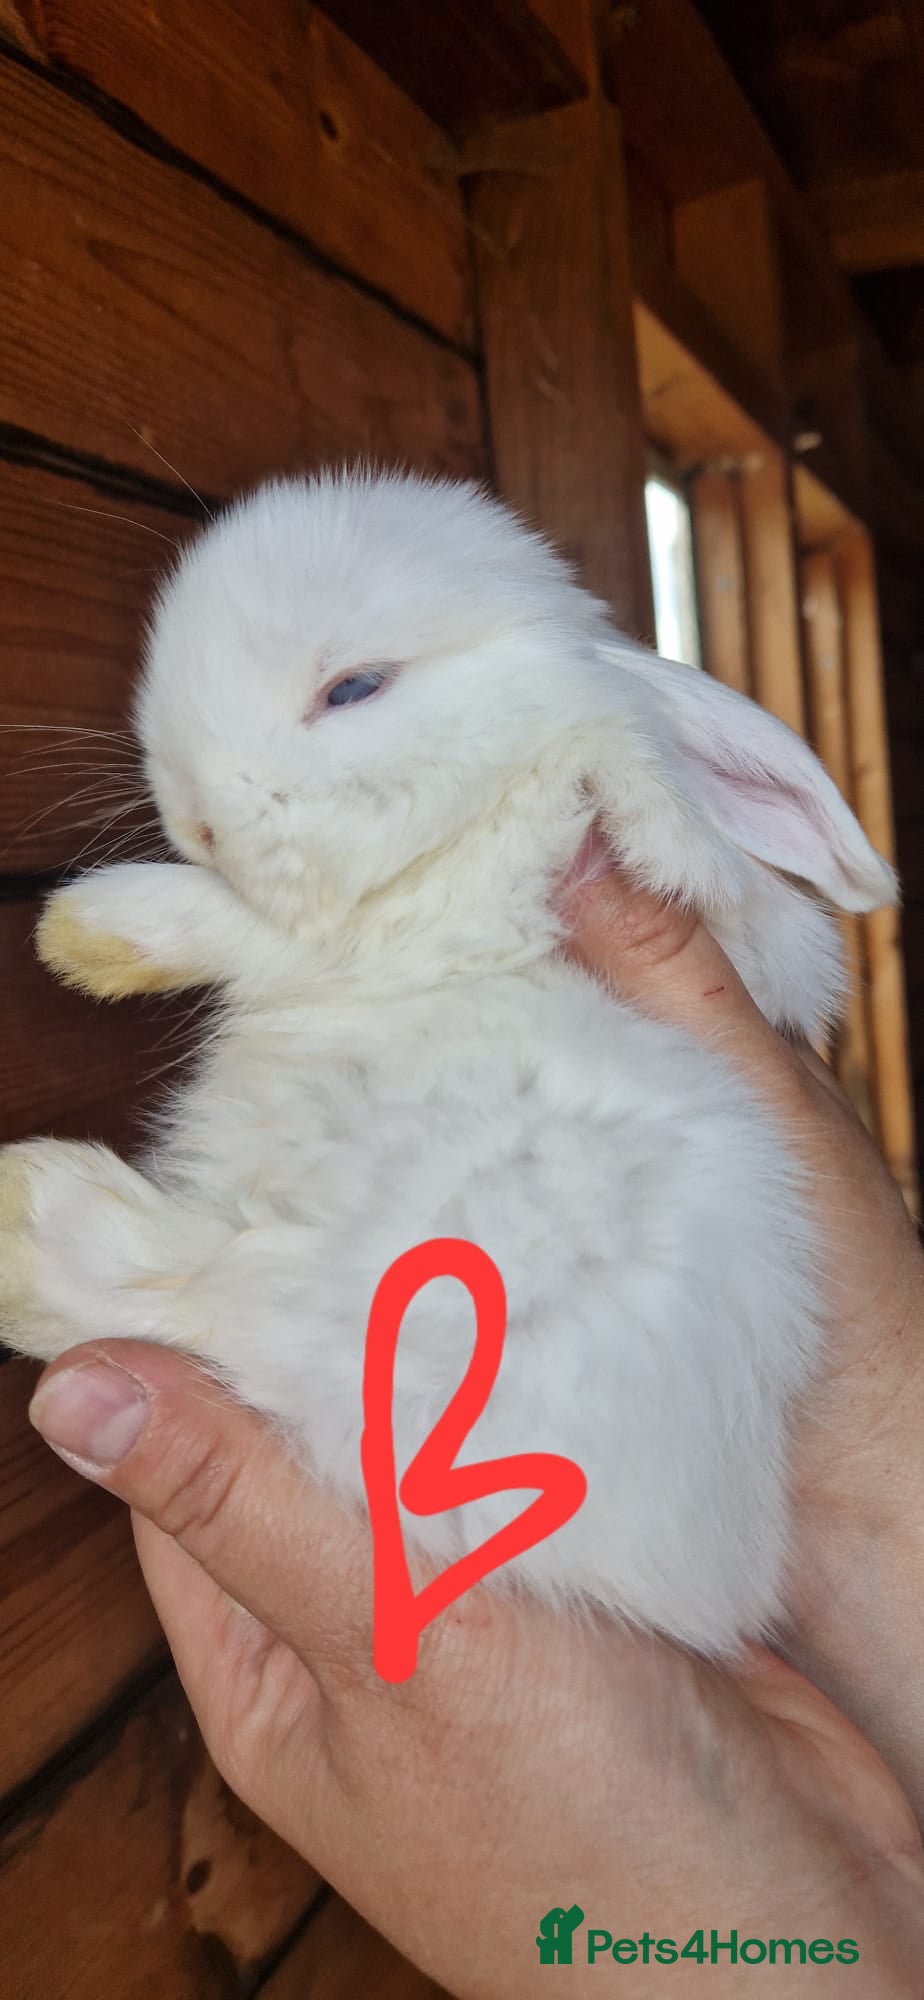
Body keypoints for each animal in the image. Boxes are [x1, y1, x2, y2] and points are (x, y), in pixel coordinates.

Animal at [0, 466, 897, 1657]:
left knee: (214, 1298)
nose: (194, 819)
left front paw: (83, 931)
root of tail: (686, 1587)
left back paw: (26, 1209)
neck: (508, 766)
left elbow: (253, 930)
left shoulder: (432, 905)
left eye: (355, 687)